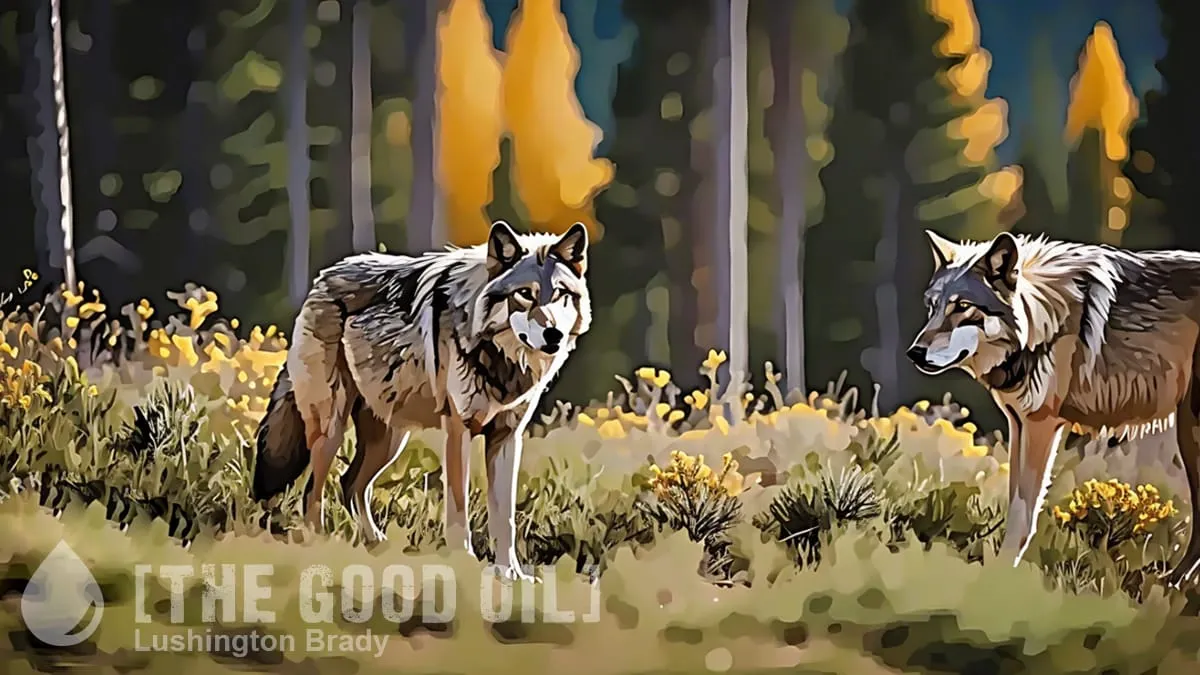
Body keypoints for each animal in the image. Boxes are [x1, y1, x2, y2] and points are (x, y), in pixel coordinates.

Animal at [251, 220, 592, 581]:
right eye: (525, 294)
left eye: (560, 294)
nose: (553, 334)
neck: (501, 360)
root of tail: (322, 279)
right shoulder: (459, 430)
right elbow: (458, 506)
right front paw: (463, 563)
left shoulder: (507, 438)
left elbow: (505, 518)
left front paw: (510, 574)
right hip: (331, 430)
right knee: (312, 492)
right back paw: (321, 546)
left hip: (389, 440)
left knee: (350, 484)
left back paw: (378, 548)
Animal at [907, 229, 1200, 587]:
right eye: (932, 307)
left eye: (963, 307)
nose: (914, 353)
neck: (1043, 321)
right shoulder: (1019, 425)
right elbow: (1016, 502)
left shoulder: (1041, 426)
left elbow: (1024, 512)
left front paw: (998, 578)